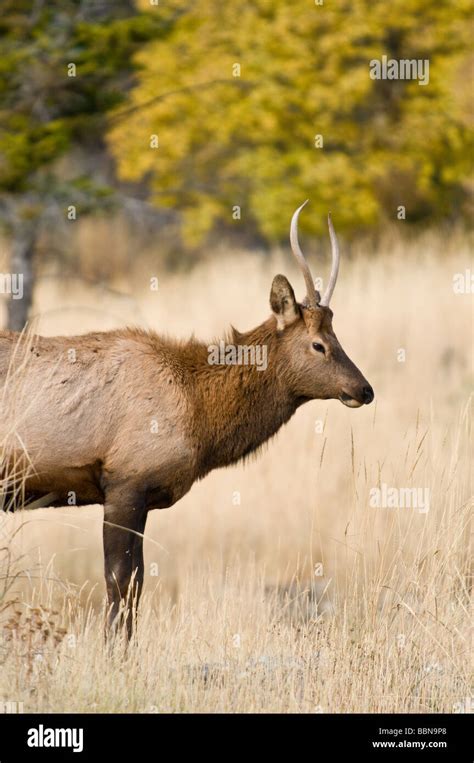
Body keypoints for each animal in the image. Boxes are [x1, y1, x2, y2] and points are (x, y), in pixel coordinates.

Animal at [0, 204, 374, 640]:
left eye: (336, 336)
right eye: (319, 344)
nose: (364, 389)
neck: (198, 412)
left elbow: (136, 585)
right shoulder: (125, 482)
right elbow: (120, 583)